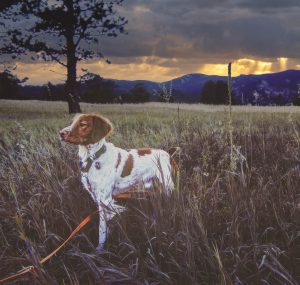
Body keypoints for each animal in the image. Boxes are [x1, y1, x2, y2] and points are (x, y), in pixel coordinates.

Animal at [59, 113, 179, 251]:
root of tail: (168, 153)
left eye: (83, 124)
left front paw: (100, 250)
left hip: (168, 187)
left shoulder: (105, 200)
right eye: (72, 122)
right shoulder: (98, 198)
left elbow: (102, 229)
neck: (93, 159)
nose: (61, 133)